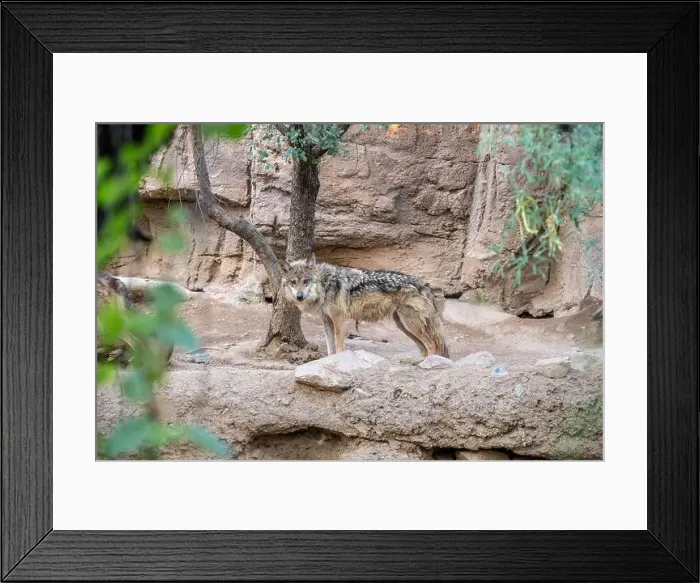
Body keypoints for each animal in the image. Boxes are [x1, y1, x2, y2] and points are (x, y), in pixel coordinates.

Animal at [280, 257, 450, 358]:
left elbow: (339, 348)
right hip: (403, 325)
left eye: (306, 281)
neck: (325, 285)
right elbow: (330, 349)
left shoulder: (339, 319)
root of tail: (423, 284)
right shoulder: (327, 320)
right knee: (424, 348)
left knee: (433, 347)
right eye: (293, 282)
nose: (299, 297)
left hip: (411, 324)